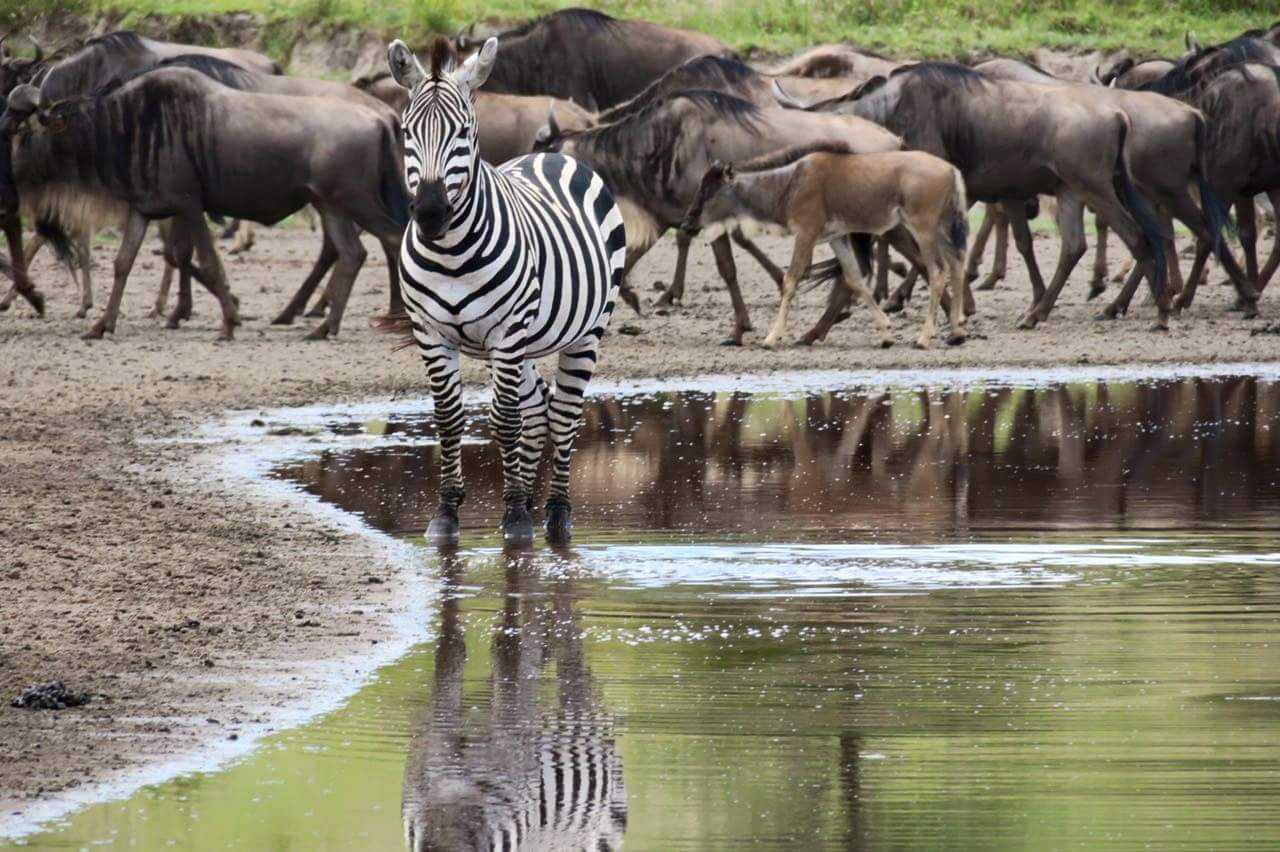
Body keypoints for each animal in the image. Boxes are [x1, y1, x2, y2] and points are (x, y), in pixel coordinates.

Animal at [384, 36, 629, 539]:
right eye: (407, 132)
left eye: (464, 132)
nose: (431, 213)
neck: (451, 253)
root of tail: (551, 155)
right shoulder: (430, 333)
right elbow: (449, 419)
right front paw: (448, 512)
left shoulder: (506, 330)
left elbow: (505, 419)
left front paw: (514, 516)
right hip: (527, 343)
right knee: (538, 410)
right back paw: (534, 503)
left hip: (583, 332)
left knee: (562, 413)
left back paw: (555, 513)